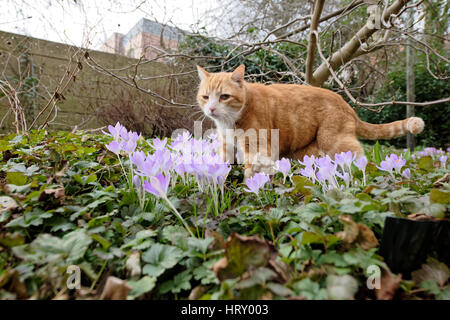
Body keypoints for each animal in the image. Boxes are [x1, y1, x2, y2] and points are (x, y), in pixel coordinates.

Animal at [195, 65, 424, 179]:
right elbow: (224, 162)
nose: (211, 109)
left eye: (224, 96)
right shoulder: (227, 144)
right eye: (206, 97)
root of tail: (346, 104)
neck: (231, 120)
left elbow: (252, 169)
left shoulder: (258, 146)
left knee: (358, 157)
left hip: (334, 141)